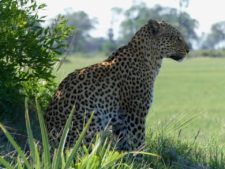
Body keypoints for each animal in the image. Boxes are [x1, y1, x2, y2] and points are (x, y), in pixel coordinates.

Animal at [44, 19, 188, 151]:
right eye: (177, 37)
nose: (188, 50)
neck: (152, 60)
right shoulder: (135, 114)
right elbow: (138, 143)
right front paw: (142, 158)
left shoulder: (121, 121)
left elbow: (123, 146)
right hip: (92, 119)